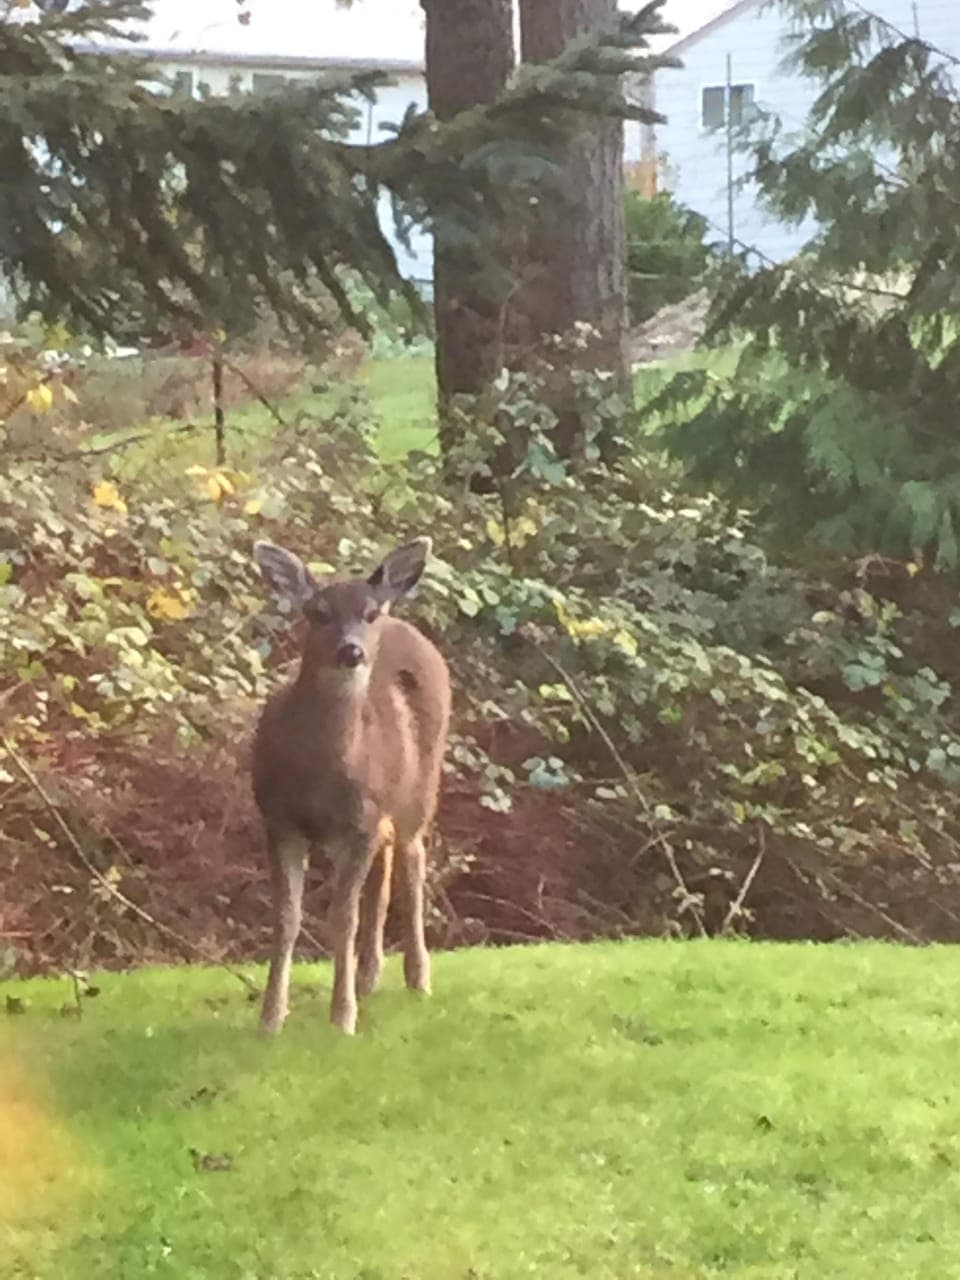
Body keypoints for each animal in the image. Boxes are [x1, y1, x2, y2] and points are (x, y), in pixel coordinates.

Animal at [250, 536, 451, 1036]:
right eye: (318, 613)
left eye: (369, 613)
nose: (352, 651)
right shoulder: (277, 818)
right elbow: (286, 917)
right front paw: (270, 1018)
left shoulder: (358, 822)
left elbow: (343, 917)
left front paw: (342, 1017)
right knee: (387, 861)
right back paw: (368, 973)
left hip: (422, 786)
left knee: (412, 858)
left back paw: (417, 977)